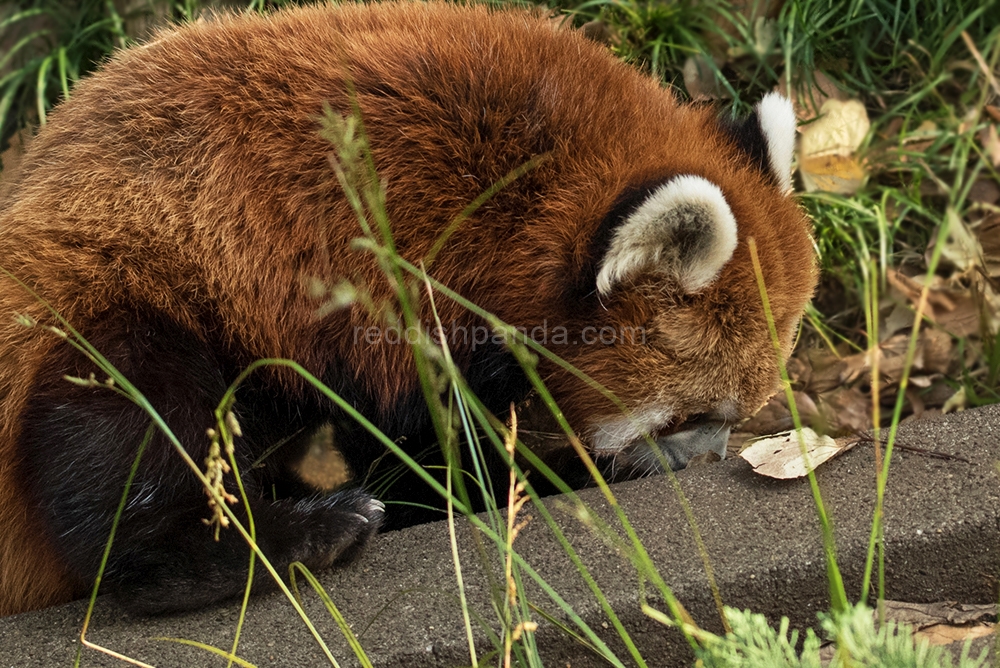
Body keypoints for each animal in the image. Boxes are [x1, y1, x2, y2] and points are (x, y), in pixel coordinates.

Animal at [0, 2, 812, 616]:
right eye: (689, 416)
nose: (712, 458)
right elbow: (434, 448)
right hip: (104, 291)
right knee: (128, 423)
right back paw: (291, 535)